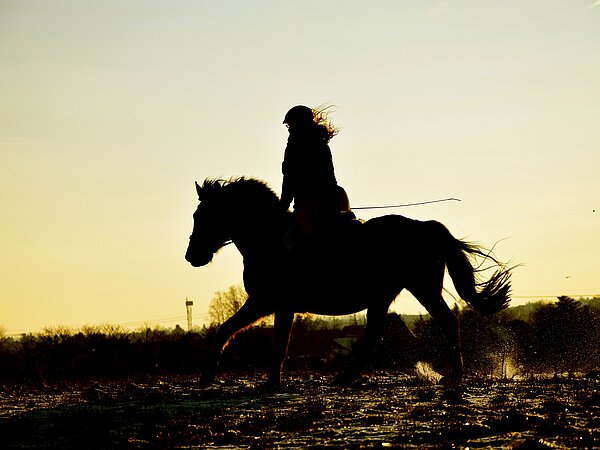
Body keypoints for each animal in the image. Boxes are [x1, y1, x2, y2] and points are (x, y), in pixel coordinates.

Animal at [185, 177, 511, 386]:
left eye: (203, 216)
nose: (191, 256)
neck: (268, 239)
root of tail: (425, 227)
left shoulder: (271, 303)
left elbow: (269, 341)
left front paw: (265, 382)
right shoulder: (270, 304)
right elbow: (233, 331)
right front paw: (211, 376)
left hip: (422, 289)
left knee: (447, 322)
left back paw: (453, 374)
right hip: (384, 297)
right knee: (375, 336)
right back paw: (347, 376)